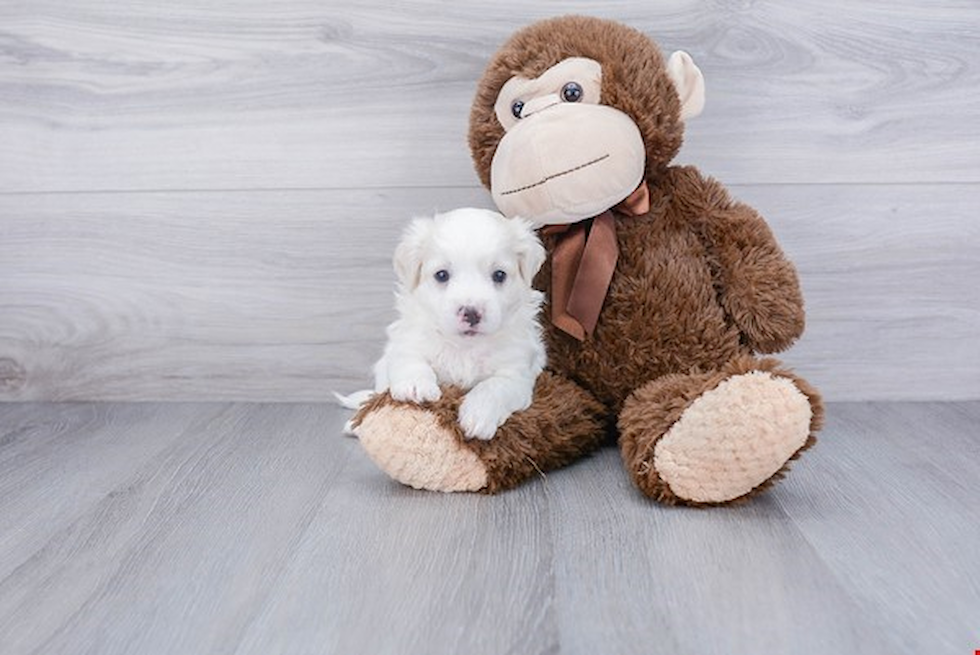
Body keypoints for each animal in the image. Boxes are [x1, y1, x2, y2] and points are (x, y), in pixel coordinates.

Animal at [348, 208, 548, 438]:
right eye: (441, 275)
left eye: (499, 275)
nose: (471, 313)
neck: (465, 347)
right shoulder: (405, 341)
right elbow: (409, 358)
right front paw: (415, 386)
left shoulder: (517, 374)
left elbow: (495, 386)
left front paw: (479, 414)